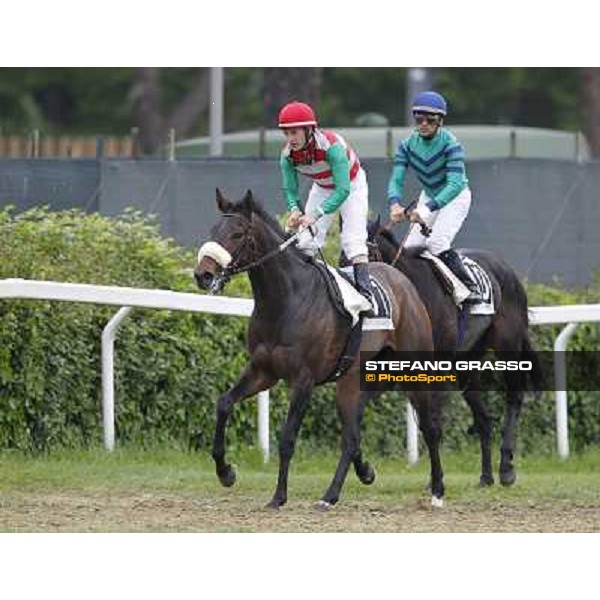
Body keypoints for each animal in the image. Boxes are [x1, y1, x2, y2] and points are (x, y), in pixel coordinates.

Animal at [195, 190, 442, 508]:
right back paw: (336, 491)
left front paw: (279, 496)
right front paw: (225, 472)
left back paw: (437, 491)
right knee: (351, 436)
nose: (202, 274)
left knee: (429, 428)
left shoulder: (304, 379)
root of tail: (404, 282)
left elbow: (288, 438)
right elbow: (224, 403)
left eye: (237, 234)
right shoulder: (262, 371)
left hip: (414, 368)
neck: (285, 301)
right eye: (214, 231)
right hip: (353, 380)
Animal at [350, 218, 540, 490]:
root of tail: (507, 271)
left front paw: (435, 480)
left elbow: (434, 421)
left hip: (508, 344)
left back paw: (506, 469)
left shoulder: (436, 365)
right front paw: (365, 470)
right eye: (342, 257)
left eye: (367, 258)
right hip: (467, 361)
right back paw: (486, 476)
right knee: (483, 417)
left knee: (514, 396)